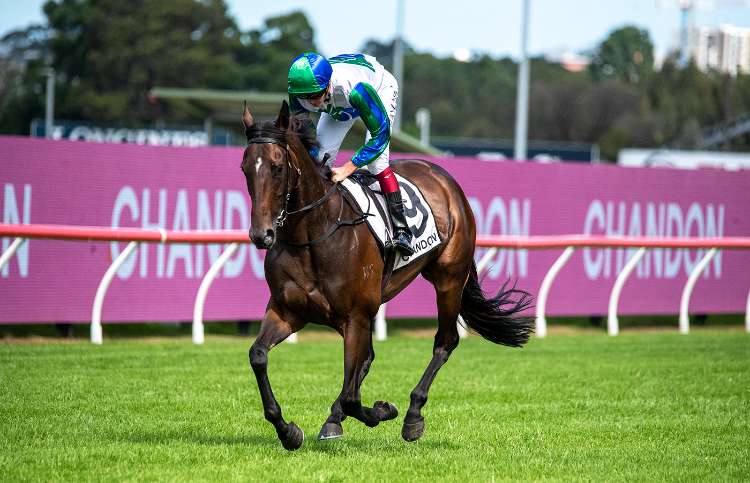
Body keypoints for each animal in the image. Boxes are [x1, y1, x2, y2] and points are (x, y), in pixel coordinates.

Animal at [240, 100, 533, 450]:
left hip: (448, 278)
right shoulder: (288, 311)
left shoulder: (355, 316)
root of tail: (443, 177)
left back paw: (412, 416)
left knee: (444, 341)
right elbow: (258, 356)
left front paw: (383, 410)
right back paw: (335, 419)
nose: (262, 235)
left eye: (277, 167)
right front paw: (288, 431)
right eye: (245, 168)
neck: (313, 234)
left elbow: (353, 395)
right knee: (366, 360)